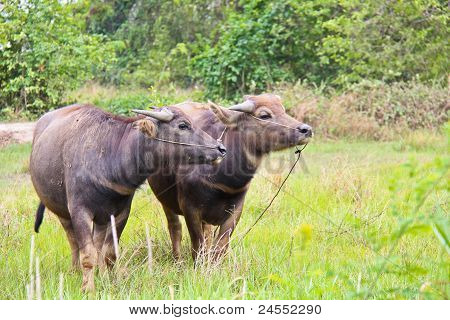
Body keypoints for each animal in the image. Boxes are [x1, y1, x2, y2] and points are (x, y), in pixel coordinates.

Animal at [29, 104, 225, 292]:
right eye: (183, 125)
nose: (221, 148)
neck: (108, 155)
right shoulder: (80, 211)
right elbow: (88, 254)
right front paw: (88, 288)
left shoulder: (121, 213)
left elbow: (109, 253)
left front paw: (107, 281)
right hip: (62, 212)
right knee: (73, 241)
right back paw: (75, 270)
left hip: (101, 219)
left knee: (98, 244)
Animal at [148, 94, 312, 262]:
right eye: (264, 115)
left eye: (283, 110)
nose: (306, 130)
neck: (221, 182)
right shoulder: (189, 208)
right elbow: (198, 246)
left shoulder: (236, 209)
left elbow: (220, 247)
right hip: (165, 201)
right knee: (175, 228)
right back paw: (177, 259)